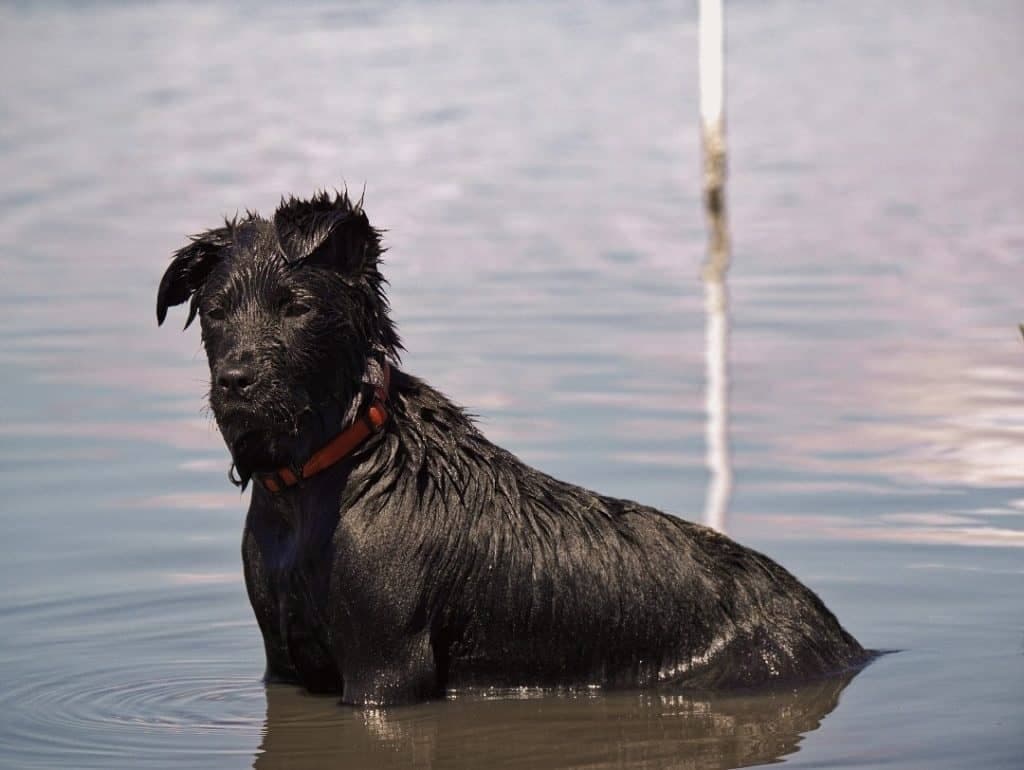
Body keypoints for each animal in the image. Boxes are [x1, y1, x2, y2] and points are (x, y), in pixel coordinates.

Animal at [155, 188, 868, 704]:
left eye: (296, 305)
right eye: (216, 311)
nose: (235, 381)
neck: (320, 481)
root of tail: (846, 642)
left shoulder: (386, 670)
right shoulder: (281, 663)